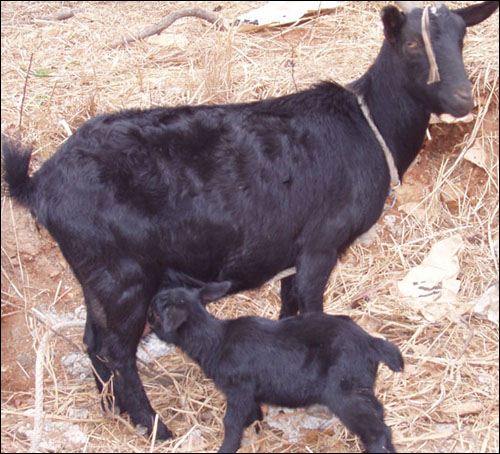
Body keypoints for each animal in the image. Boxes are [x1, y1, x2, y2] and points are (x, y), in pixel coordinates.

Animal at [1, 0, 498, 440]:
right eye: (413, 44)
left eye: (463, 36)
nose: (463, 99)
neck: (369, 126)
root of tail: (39, 182)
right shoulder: (321, 242)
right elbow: (313, 308)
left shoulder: (293, 249)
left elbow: (289, 308)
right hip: (123, 275)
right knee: (116, 351)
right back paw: (155, 427)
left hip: (96, 274)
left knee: (93, 343)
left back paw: (113, 411)